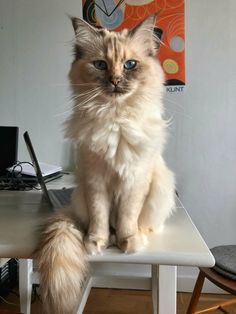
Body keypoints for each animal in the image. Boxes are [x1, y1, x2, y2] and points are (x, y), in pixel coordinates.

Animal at [36, 14, 175, 314]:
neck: (115, 118)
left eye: (130, 64)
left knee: (141, 222)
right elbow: (100, 218)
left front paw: (128, 242)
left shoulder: (134, 180)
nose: (115, 80)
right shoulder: (96, 180)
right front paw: (96, 243)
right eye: (100, 65)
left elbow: (126, 217)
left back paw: (137, 236)